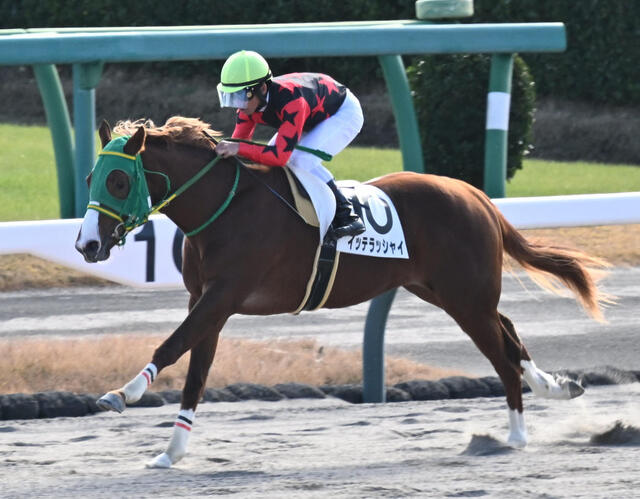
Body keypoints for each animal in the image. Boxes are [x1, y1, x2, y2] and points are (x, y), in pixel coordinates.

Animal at [75, 116, 610, 468]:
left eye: (118, 179)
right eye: (91, 177)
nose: (87, 244)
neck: (226, 206)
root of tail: (475, 194)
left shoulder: (223, 295)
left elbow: (172, 346)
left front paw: (121, 394)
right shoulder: (207, 302)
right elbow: (196, 373)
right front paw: (170, 452)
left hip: (466, 297)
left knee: (501, 353)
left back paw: (517, 433)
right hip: (445, 291)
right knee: (511, 334)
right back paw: (556, 386)